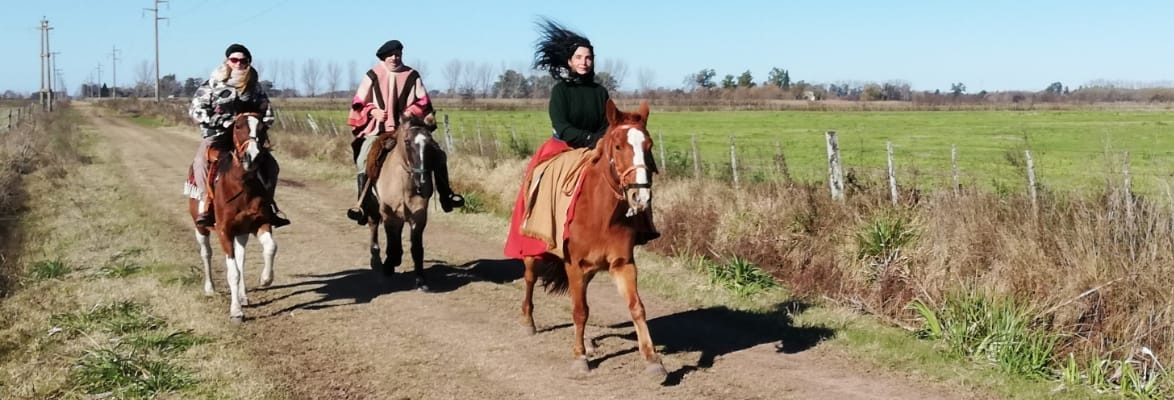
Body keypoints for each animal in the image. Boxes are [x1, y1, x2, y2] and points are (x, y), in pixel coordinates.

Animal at [189, 112, 278, 321]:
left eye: (262, 128)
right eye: (237, 127)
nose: (252, 156)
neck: (242, 185)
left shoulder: (260, 223)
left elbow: (270, 248)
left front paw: (265, 279)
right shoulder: (224, 231)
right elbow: (233, 272)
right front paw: (236, 311)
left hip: (242, 232)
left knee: (241, 259)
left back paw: (243, 295)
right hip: (201, 228)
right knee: (206, 253)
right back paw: (210, 288)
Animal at [363, 113, 434, 288]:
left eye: (431, 143)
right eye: (407, 142)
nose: (423, 184)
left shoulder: (419, 215)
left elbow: (416, 248)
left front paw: (420, 279)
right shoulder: (388, 213)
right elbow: (392, 242)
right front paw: (389, 265)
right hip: (373, 205)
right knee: (373, 224)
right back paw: (376, 259)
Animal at [518, 99, 666, 373]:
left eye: (649, 146)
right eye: (618, 146)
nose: (640, 197)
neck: (600, 213)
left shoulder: (622, 264)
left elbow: (636, 307)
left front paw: (652, 359)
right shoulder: (574, 265)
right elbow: (580, 311)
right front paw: (579, 357)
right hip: (532, 250)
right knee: (530, 278)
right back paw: (528, 322)